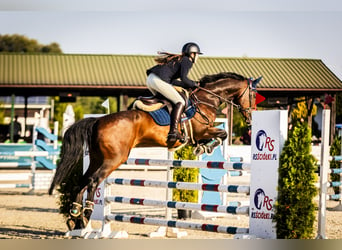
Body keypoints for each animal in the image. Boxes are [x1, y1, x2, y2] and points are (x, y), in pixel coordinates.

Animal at [48, 71, 260, 229]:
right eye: (253, 96)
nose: (251, 120)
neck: (205, 98)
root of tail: (98, 121)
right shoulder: (202, 130)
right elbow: (221, 134)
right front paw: (204, 147)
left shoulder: (200, 133)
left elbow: (218, 135)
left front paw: (202, 147)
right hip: (113, 159)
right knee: (92, 181)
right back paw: (86, 214)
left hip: (96, 158)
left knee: (83, 180)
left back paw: (74, 216)